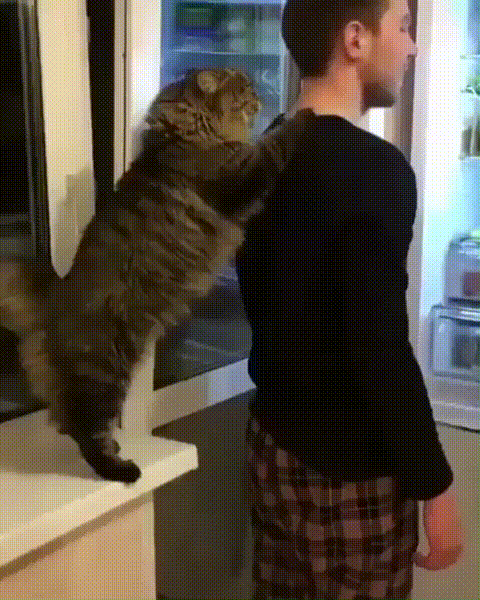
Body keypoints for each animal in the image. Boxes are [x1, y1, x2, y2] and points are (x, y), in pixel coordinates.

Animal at [0, 68, 315, 483]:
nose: (261, 94)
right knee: (86, 431)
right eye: (244, 87)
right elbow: (274, 143)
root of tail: (53, 301)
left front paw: (282, 115)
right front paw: (303, 114)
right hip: (104, 374)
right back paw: (123, 470)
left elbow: (267, 137)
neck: (188, 131)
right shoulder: (240, 174)